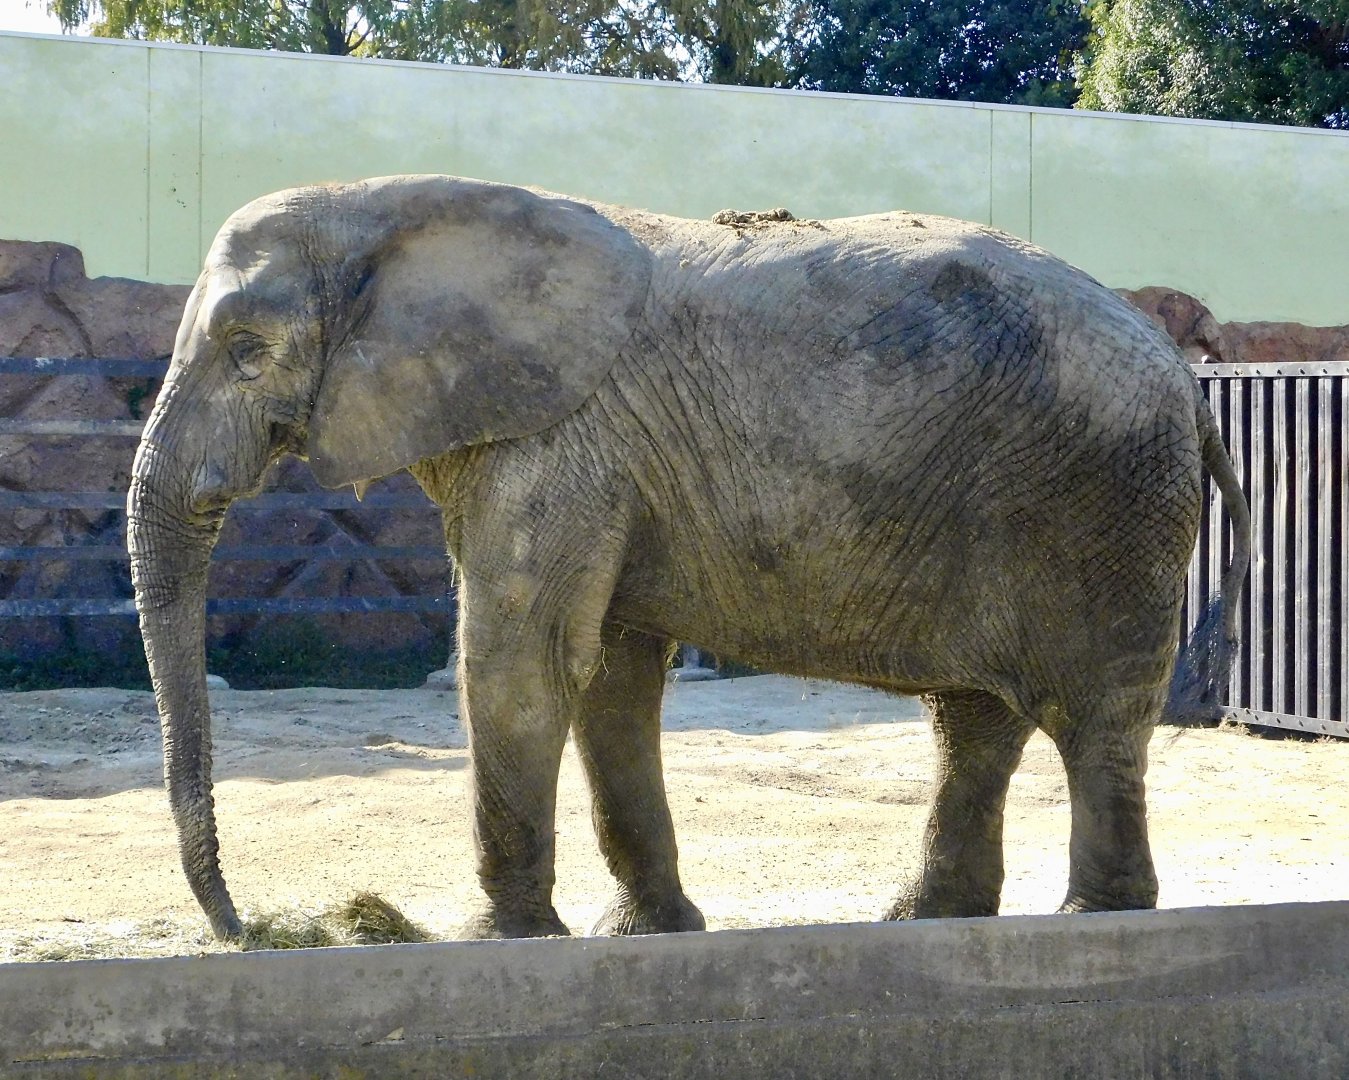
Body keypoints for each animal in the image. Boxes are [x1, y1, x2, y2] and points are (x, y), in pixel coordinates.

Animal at [128, 174, 1251, 942]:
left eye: (244, 347)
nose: (247, 929)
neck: (393, 203)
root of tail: (1184, 377)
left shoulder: (563, 439)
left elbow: (520, 661)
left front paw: (502, 941)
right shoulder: (589, 454)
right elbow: (610, 676)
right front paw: (648, 933)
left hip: (1102, 500)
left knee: (1094, 715)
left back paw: (1092, 920)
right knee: (974, 719)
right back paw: (926, 919)